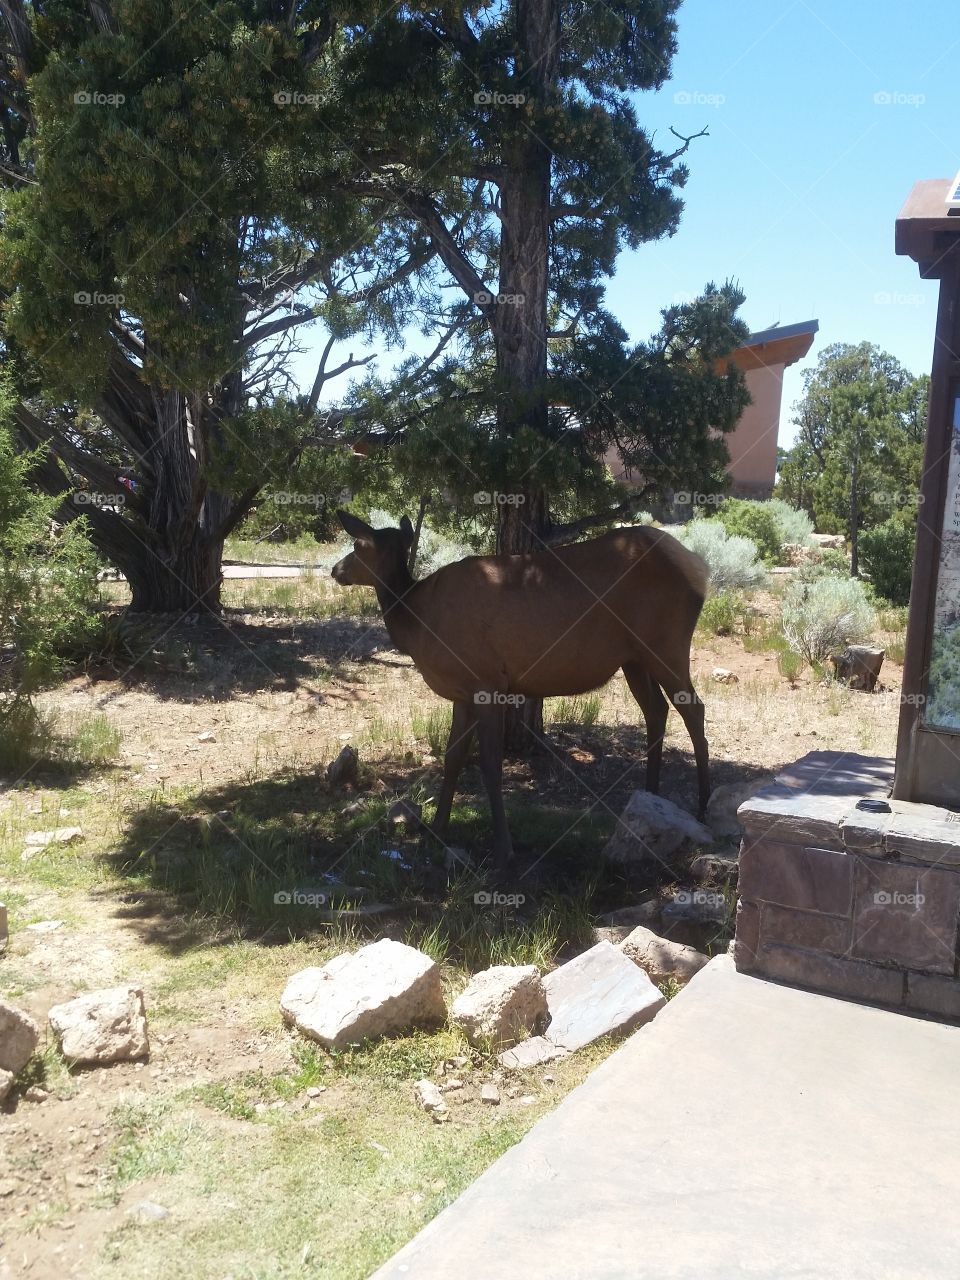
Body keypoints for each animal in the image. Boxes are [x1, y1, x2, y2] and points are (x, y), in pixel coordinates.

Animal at [331, 510, 710, 872]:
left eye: (358, 545)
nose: (336, 569)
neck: (417, 622)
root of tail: (700, 568)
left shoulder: (488, 682)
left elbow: (490, 764)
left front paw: (504, 850)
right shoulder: (462, 693)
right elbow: (453, 758)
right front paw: (436, 829)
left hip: (666, 644)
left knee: (693, 708)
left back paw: (702, 809)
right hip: (634, 658)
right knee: (657, 710)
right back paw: (651, 797)